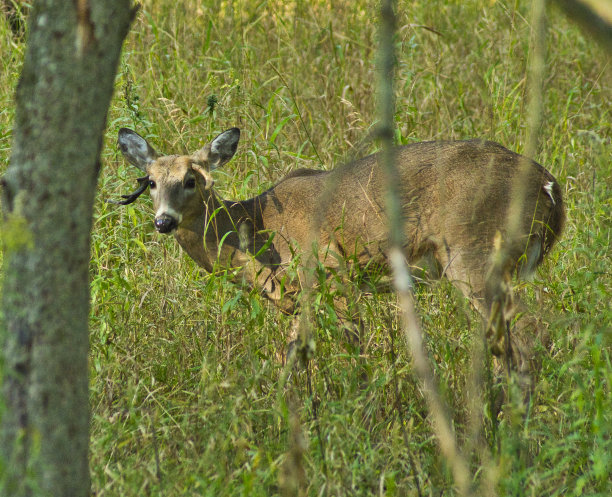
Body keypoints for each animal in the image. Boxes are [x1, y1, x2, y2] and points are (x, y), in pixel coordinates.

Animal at [111, 128, 564, 376]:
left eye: (191, 180)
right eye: (151, 182)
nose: (163, 222)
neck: (256, 232)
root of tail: (549, 187)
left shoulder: (330, 269)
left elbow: (352, 349)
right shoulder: (301, 299)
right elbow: (291, 358)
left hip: (473, 254)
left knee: (531, 333)